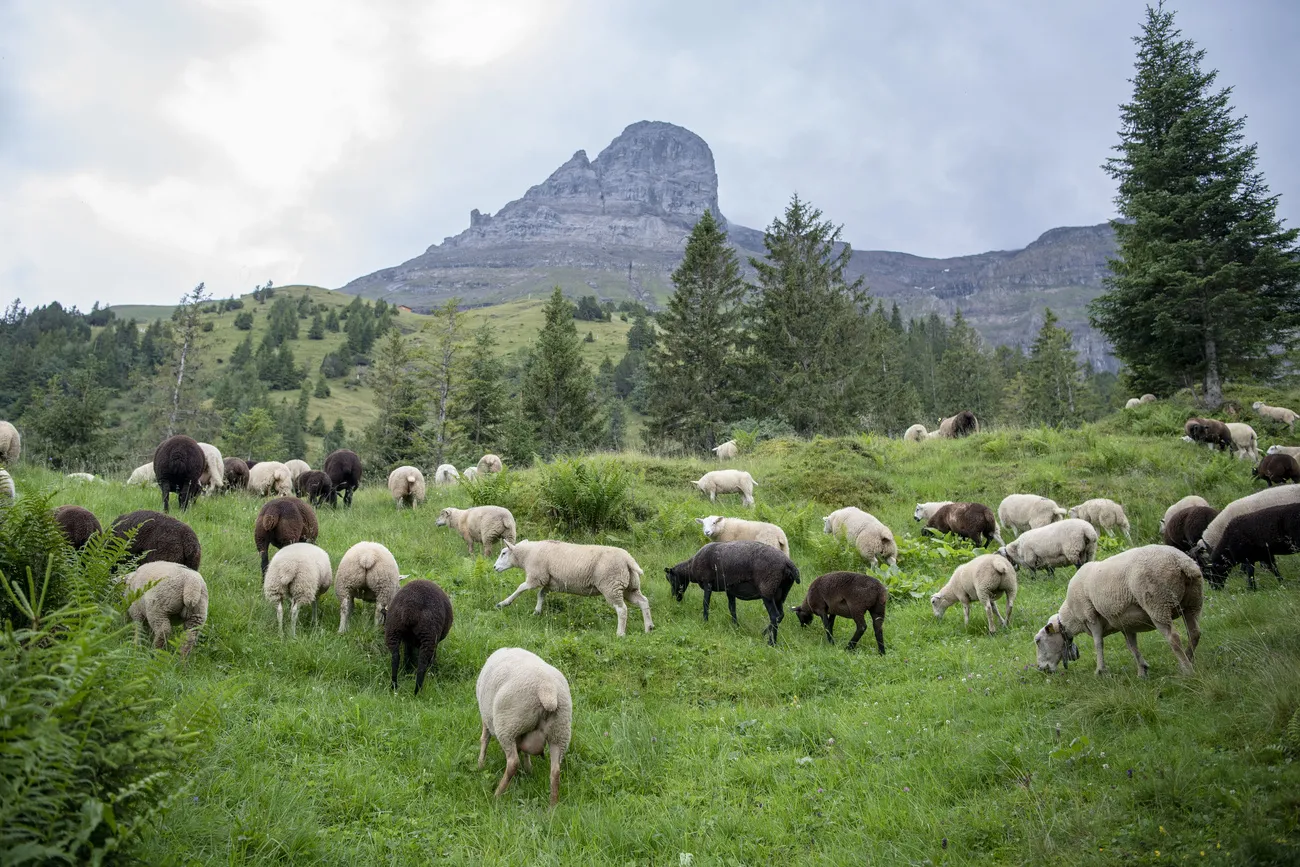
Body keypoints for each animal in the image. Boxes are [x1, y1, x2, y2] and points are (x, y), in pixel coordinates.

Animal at [476, 647, 572, 807]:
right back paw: (552, 806)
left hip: (508, 726)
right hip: (559, 732)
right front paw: (528, 769)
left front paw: (480, 765)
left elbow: (484, 739)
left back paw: (497, 794)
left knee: (513, 762)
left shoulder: (486, 717)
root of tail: (546, 690)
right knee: (555, 771)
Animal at [494, 540, 653, 637]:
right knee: (643, 601)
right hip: (628, 586)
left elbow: (520, 588)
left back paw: (620, 633)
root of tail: (628, 559)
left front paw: (503, 603)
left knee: (622, 609)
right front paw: (537, 611)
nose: (494, 567)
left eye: (503, 553)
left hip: (611, 585)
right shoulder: (551, 582)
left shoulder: (536, 577)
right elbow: (541, 594)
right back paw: (649, 627)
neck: (527, 555)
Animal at [665, 540, 800, 645]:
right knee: (781, 615)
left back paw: (771, 642)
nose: (675, 597)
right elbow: (732, 608)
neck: (691, 568)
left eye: (670, 579)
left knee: (774, 616)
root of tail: (788, 563)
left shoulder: (707, 583)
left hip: (767, 590)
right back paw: (764, 633)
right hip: (780, 593)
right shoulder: (730, 590)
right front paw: (735, 626)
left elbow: (706, 604)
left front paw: (705, 621)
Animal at [1033, 545, 1202, 677]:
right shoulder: (1125, 623)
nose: (1041, 669)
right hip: (1192, 602)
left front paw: (1100, 671)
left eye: (1038, 640)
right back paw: (1188, 659)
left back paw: (1187, 670)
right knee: (1194, 632)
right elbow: (1132, 646)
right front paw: (1142, 671)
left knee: (1174, 637)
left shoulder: (1090, 617)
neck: (1072, 617)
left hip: (1157, 604)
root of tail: (1181, 562)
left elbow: (1098, 643)